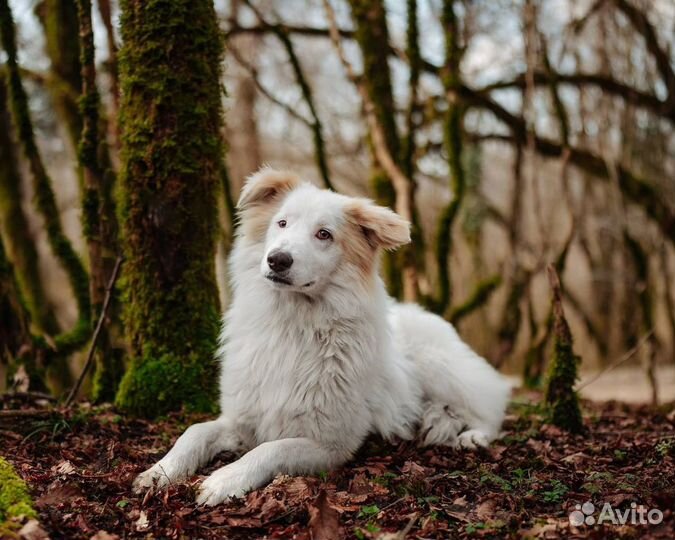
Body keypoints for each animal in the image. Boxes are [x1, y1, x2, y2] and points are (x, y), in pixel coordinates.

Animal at [135, 168, 510, 506]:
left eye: (324, 235)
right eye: (282, 224)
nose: (278, 260)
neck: (292, 324)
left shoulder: (331, 444)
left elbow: (270, 448)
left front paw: (225, 480)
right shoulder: (241, 420)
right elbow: (195, 431)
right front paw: (161, 470)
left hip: (439, 366)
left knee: (490, 405)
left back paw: (473, 436)